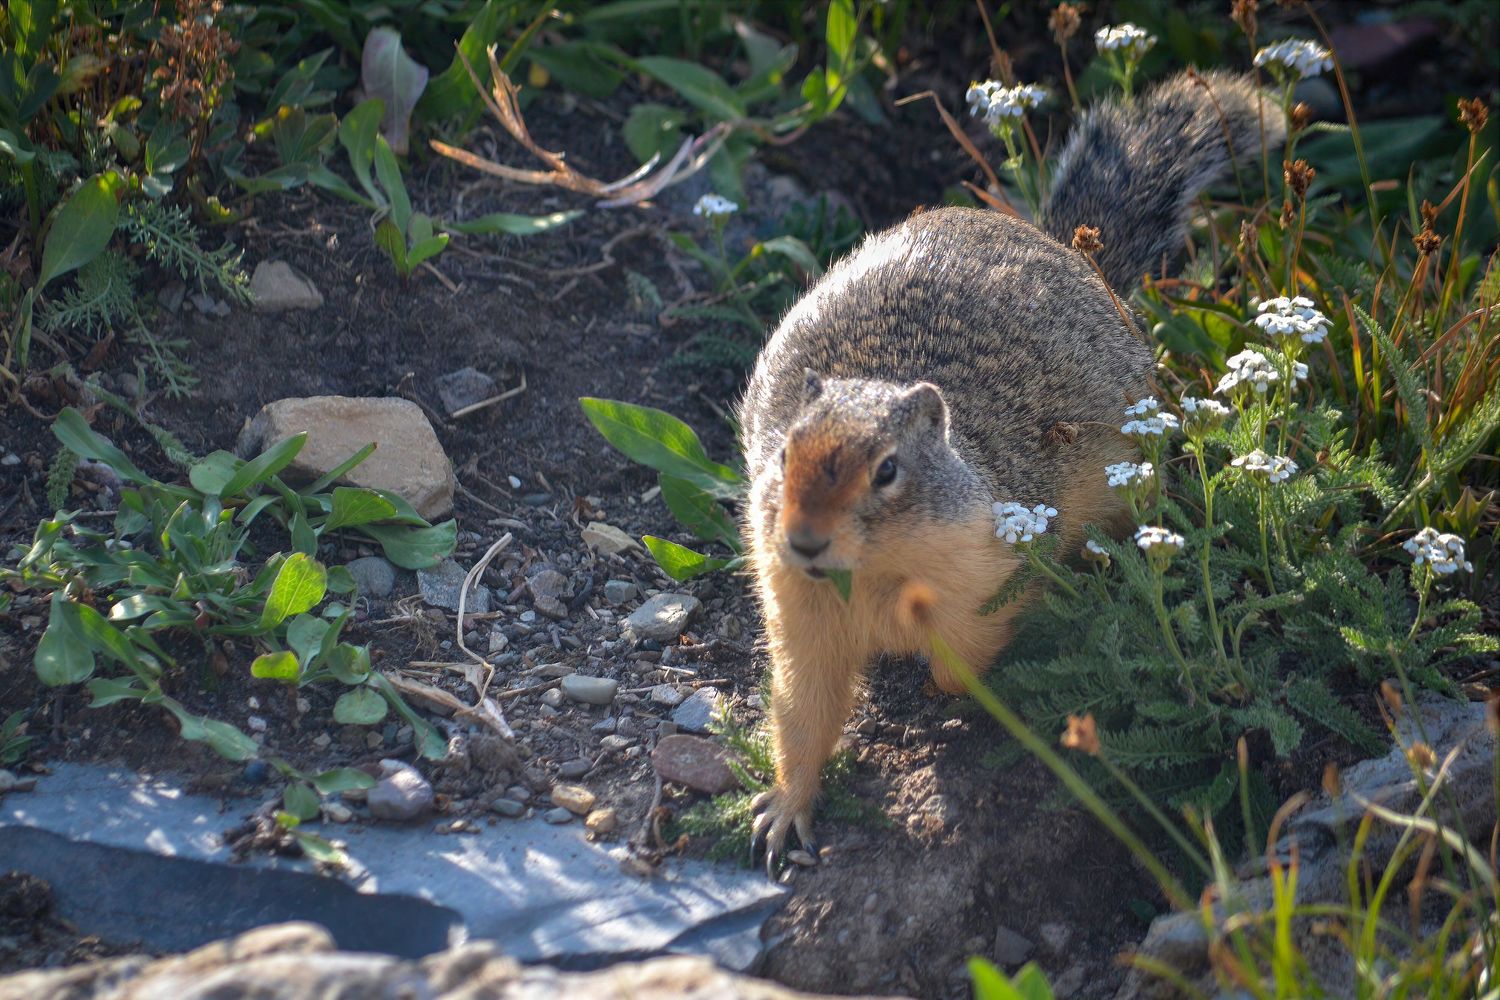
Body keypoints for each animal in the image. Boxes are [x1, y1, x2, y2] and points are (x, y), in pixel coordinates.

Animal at [736, 70, 1285, 872]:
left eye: (889, 471)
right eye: (782, 454)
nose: (803, 540)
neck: (874, 573)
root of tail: (1064, 246)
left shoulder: (987, 581)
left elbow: (961, 662)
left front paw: (948, 695)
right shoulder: (799, 611)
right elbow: (803, 713)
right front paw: (783, 811)